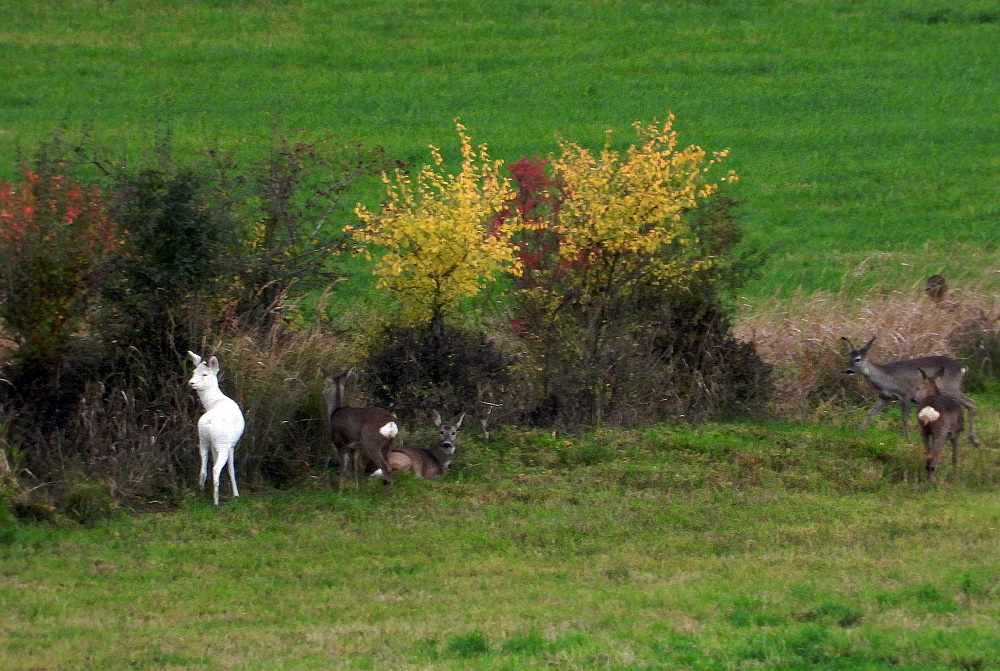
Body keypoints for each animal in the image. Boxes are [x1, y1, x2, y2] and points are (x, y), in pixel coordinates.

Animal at [188, 352, 244, 504]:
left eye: (204, 374)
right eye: (194, 372)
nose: (191, 382)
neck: (214, 402)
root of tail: (208, 424)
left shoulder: (213, 444)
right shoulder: (231, 444)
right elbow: (231, 469)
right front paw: (236, 494)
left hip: (203, 440)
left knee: (203, 470)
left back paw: (201, 492)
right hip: (222, 443)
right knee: (216, 468)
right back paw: (216, 501)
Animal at [844, 336, 976, 446]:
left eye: (858, 359)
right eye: (849, 358)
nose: (848, 370)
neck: (886, 379)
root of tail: (963, 368)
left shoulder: (906, 394)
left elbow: (905, 419)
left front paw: (907, 439)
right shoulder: (884, 397)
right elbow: (870, 413)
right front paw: (858, 431)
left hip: (950, 388)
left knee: (971, 403)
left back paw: (973, 440)